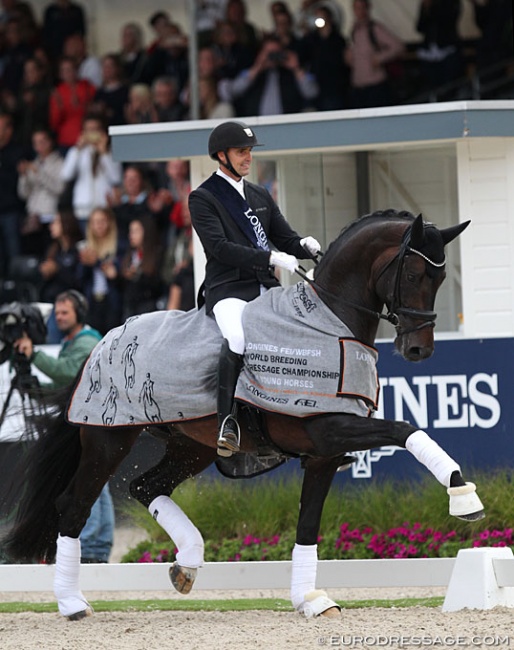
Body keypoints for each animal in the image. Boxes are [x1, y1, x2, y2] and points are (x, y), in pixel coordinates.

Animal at [2, 210, 482, 620]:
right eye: (414, 274)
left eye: (440, 277)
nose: (418, 349)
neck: (328, 322)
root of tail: (106, 338)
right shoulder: (327, 430)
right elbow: (405, 429)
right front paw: (462, 495)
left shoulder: (323, 454)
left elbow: (308, 526)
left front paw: (310, 600)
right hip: (109, 441)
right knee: (74, 506)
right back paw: (72, 603)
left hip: (190, 447)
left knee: (146, 486)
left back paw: (187, 563)